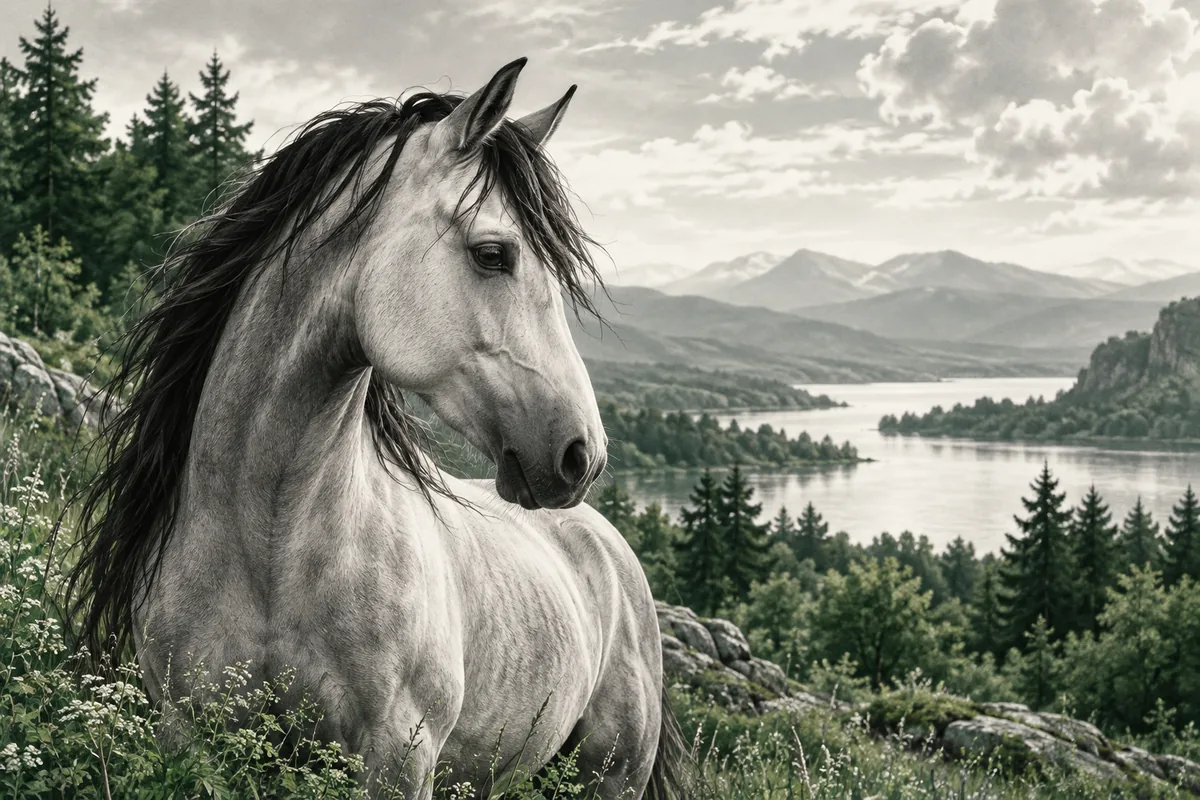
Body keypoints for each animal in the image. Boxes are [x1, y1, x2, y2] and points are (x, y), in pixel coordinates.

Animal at [64, 57, 686, 798]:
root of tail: (610, 546)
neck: (274, 542)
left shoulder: (397, 757)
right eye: (492, 254)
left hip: (609, 775)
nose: (580, 456)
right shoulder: (190, 737)